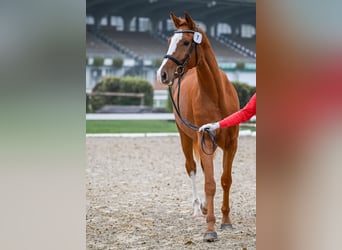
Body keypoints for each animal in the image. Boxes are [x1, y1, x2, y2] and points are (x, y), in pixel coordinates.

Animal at [156, 12, 239, 241]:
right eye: (169, 40)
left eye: (185, 42)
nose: (162, 74)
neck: (216, 95)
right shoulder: (206, 142)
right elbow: (209, 183)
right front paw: (210, 229)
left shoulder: (231, 145)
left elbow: (225, 180)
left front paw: (226, 221)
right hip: (184, 137)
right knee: (192, 168)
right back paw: (197, 208)